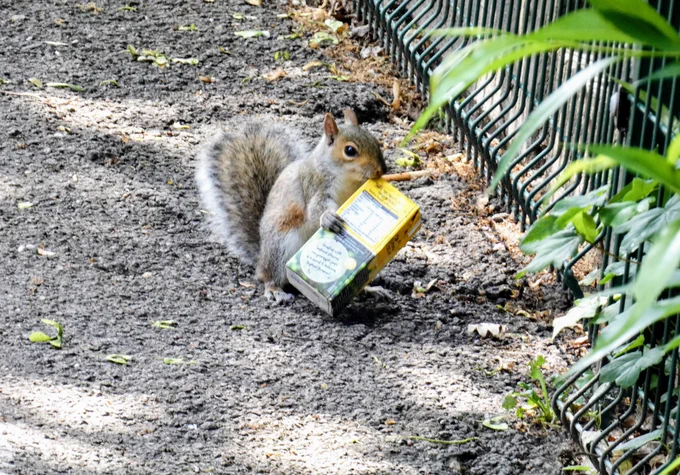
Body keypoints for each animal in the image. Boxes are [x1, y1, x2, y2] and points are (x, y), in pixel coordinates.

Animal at [195, 109, 387, 303]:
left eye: (375, 140)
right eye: (350, 150)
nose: (382, 170)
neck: (347, 180)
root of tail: (261, 259)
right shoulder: (314, 186)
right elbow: (315, 210)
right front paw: (328, 218)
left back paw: (368, 288)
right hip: (281, 246)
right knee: (270, 276)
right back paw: (274, 290)